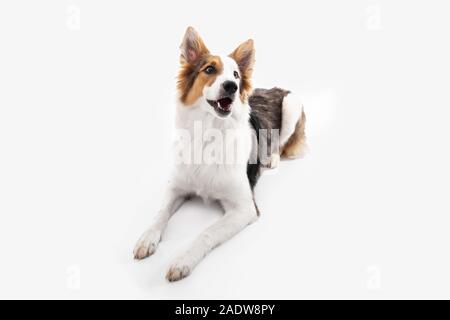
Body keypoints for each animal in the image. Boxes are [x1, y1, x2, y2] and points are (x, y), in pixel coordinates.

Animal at [131, 28, 306, 282]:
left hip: (292, 104)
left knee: (280, 145)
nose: (232, 86)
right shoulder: (176, 187)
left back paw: (270, 159)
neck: (209, 133)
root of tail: (273, 88)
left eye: (235, 74)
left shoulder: (244, 208)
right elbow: (159, 213)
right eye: (209, 69)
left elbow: (207, 232)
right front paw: (147, 238)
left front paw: (182, 260)